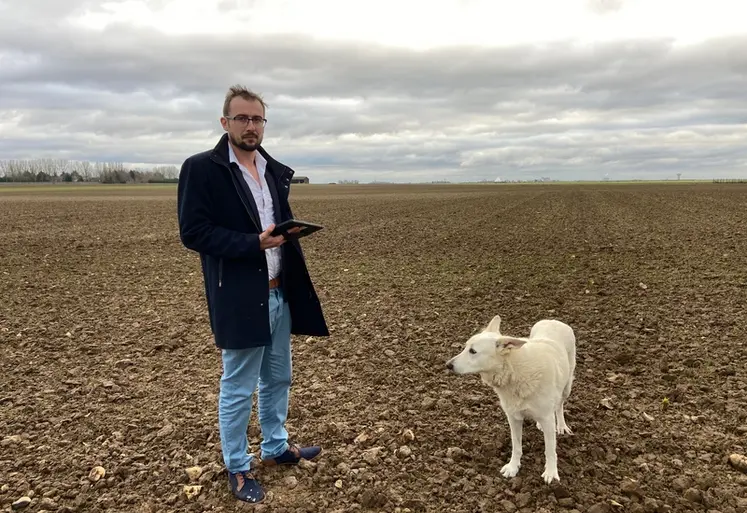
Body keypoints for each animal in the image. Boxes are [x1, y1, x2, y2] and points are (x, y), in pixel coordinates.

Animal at [444, 312, 580, 484]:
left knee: (559, 405)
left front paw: (551, 473)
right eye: (465, 347)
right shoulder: (513, 417)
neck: (514, 370)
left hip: (567, 386)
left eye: (473, 351)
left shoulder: (547, 418)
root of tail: (553, 320)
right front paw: (513, 467)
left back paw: (561, 425)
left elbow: (550, 450)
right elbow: (516, 446)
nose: (448, 365)